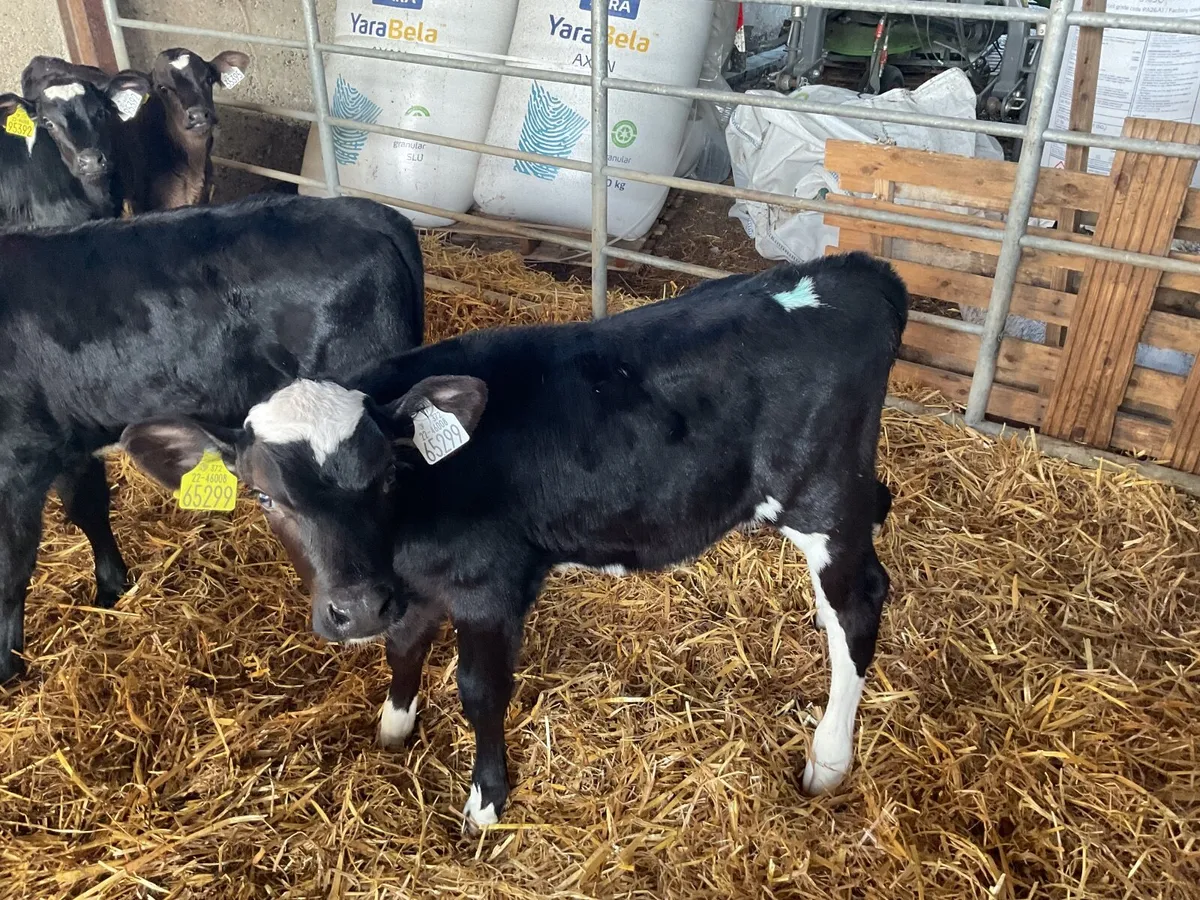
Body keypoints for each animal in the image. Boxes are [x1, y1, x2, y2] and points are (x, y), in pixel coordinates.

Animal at [0, 193, 424, 684]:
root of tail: (360, 211)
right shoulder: (66, 441)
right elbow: (88, 507)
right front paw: (111, 587)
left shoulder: (18, 463)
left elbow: (10, 569)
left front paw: (5, 666)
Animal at [121, 252, 907, 832]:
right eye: (263, 495)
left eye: (386, 474)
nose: (354, 607)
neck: (409, 531)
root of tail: (857, 270)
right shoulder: (409, 586)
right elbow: (404, 648)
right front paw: (392, 730)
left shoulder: (489, 585)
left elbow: (479, 690)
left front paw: (484, 803)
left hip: (822, 498)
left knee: (860, 603)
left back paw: (829, 757)